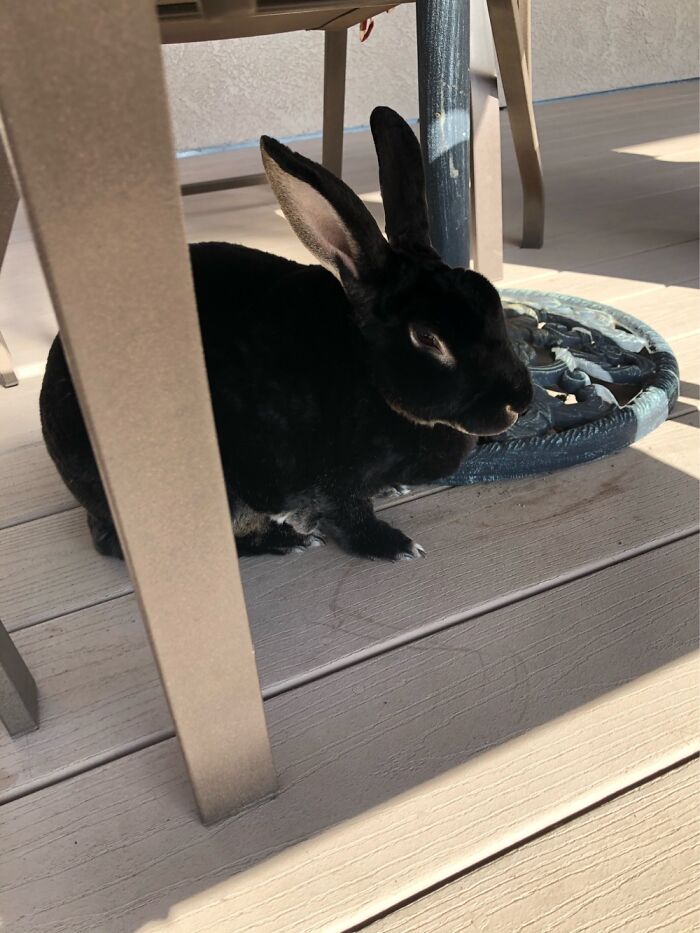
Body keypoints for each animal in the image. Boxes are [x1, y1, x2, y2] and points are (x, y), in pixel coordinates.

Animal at [39, 106, 533, 563]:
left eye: (490, 297)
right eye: (428, 338)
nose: (520, 403)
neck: (369, 373)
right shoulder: (333, 481)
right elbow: (350, 516)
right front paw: (394, 546)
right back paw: (285, 541)